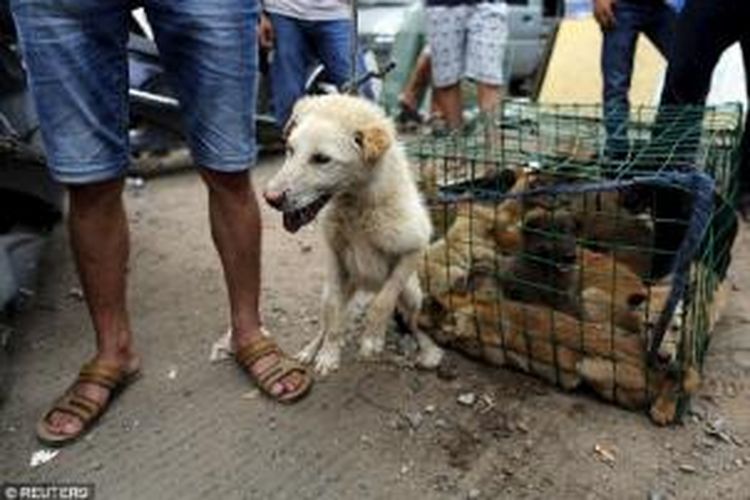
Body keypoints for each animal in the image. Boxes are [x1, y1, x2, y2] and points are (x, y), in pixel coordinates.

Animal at [264, 94, 444, 376]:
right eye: (290, 150)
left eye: (321, 158)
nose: (270, 199)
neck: (358, 206)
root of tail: (367, 285)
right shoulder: (335, 258)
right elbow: (335, 315)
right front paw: (328, 354)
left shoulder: (414, 248)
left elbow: (382, 301)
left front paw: (371, 339)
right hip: (330, 289)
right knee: (326, 318)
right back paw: (311, 349)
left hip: (413, 295)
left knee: (413, 322)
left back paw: (426, 350)